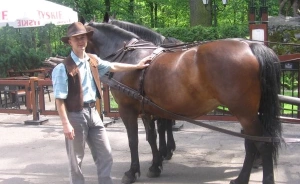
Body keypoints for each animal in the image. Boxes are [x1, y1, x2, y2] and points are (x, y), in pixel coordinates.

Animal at [85, 21, 282, 184]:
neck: (130, 56)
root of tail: (251, 45)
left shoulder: (128, 110)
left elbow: (133, 140)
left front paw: (132, 172)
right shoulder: (146, 109)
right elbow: (151, 137)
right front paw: (155, 165)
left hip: (245, 113)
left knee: (262, 144)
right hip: (251, 113)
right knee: (252, 143)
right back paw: (241, 178)